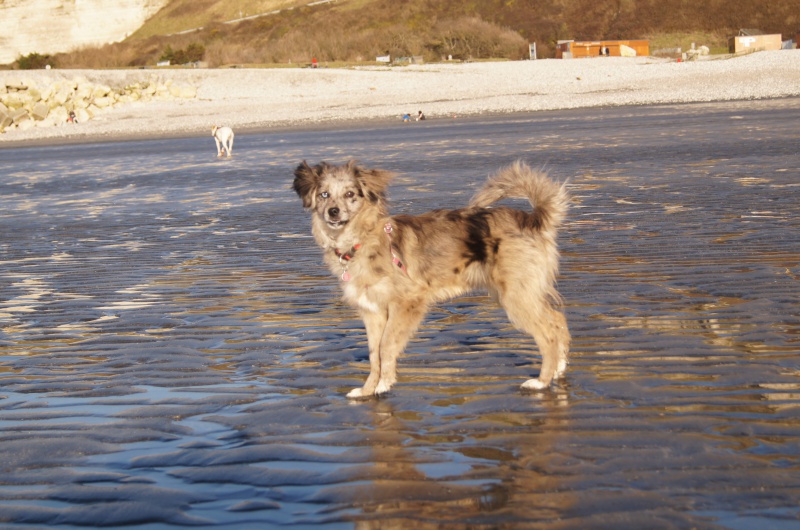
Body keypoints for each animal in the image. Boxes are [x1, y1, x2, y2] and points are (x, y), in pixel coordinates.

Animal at [294, 159, 568, 398]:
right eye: (324, 195)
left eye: (350, 194)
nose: (333, 212)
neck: (361, 238)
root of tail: (532, 219)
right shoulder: (372, 311)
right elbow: (374, 354)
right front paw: (368, 390)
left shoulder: (407, 303)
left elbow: (386, 346)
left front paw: (384, 383)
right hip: (521, 293)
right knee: (557, 320)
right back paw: (560, 367)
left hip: (515, 296)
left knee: (548, 334)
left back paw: (542, 381)